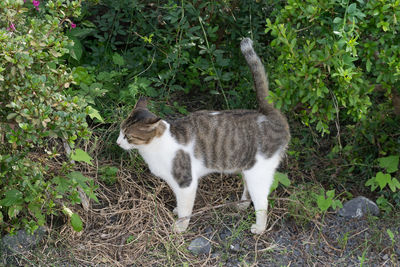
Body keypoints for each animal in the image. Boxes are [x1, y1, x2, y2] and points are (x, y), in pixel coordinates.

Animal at [116, 37, 290, 234]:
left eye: (128, 136)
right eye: (120, 130)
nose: (118, 142)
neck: (156, 146)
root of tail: (267, 113)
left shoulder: (186, 183)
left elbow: (186, 208)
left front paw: (180, 227)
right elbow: (179, 204)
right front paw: (176, 211)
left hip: (258, 173)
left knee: (263, 203)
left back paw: (259, 228)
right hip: (248, 169)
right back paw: (242, 205)